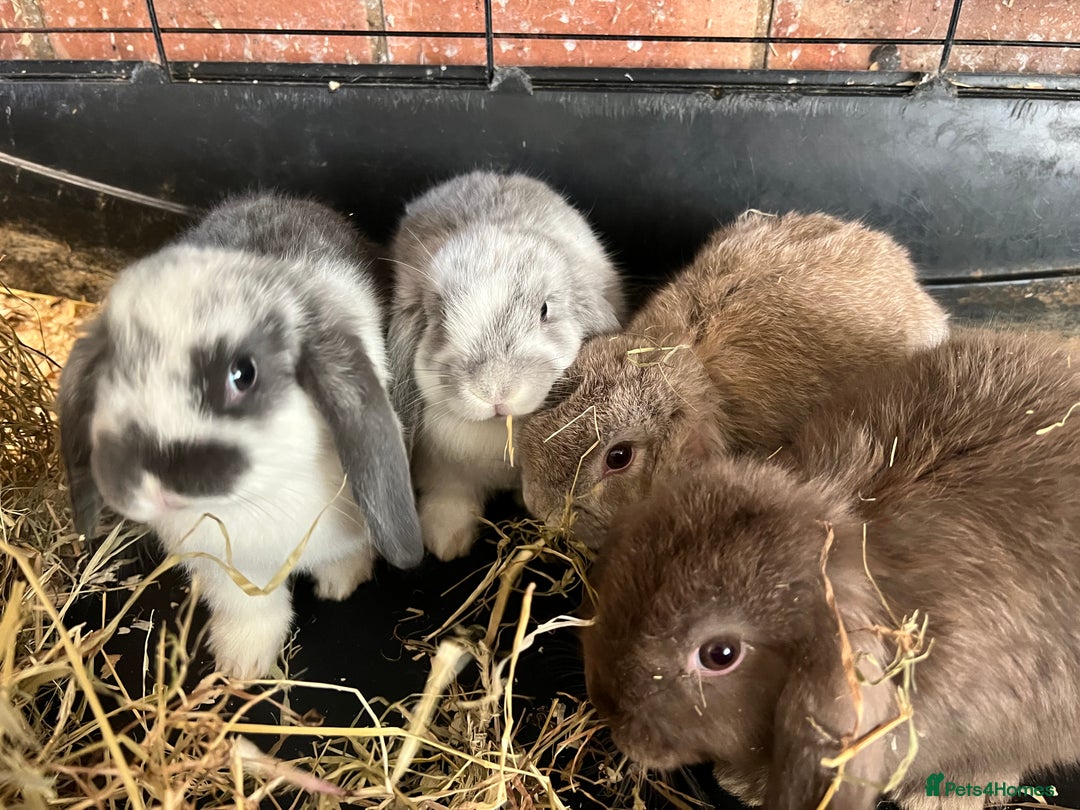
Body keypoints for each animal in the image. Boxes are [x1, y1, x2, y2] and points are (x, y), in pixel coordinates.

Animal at [57, 192, 423, 679]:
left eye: (243, 373)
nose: (157, 485)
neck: (258, 499)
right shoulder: (224, 566)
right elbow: (249, 608)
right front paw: (242, 664)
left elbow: (345, 554)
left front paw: (340, 585)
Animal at [387, 170, 626, 561]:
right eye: (439, 316)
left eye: (544, 310)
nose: (494, 390)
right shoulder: (443, 472)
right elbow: (450, 497)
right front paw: (446, 543)